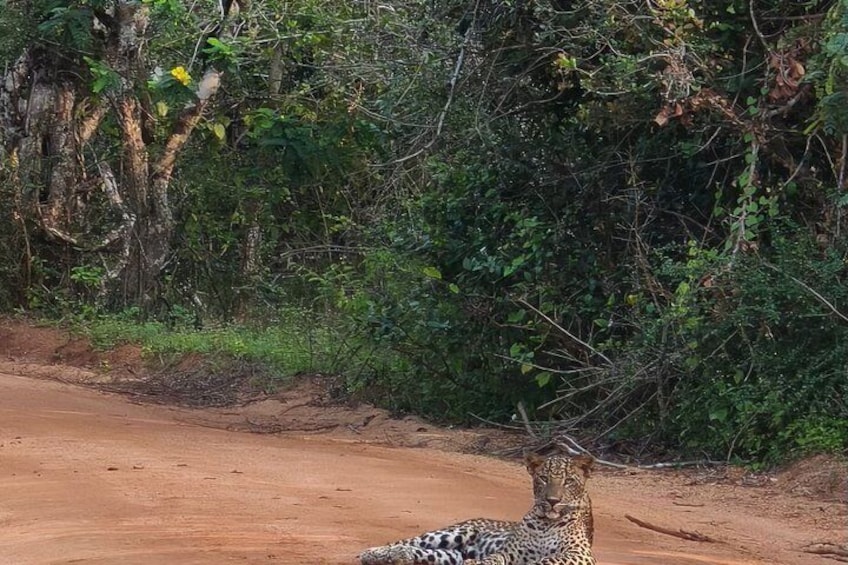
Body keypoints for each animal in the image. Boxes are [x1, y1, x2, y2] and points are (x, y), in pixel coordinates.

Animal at [359, 452, 596, 565]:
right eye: (544, 478)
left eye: (568, 481)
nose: (552, 500)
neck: (547, 522)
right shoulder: (509, 552)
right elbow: (494, 558)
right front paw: (480, 562)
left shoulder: (581, 554)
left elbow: (549, 559)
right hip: (454, 532)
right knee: (403, 542)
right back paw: (374, 554)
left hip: (450, 555)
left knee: (422, 552)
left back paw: (400, 557)